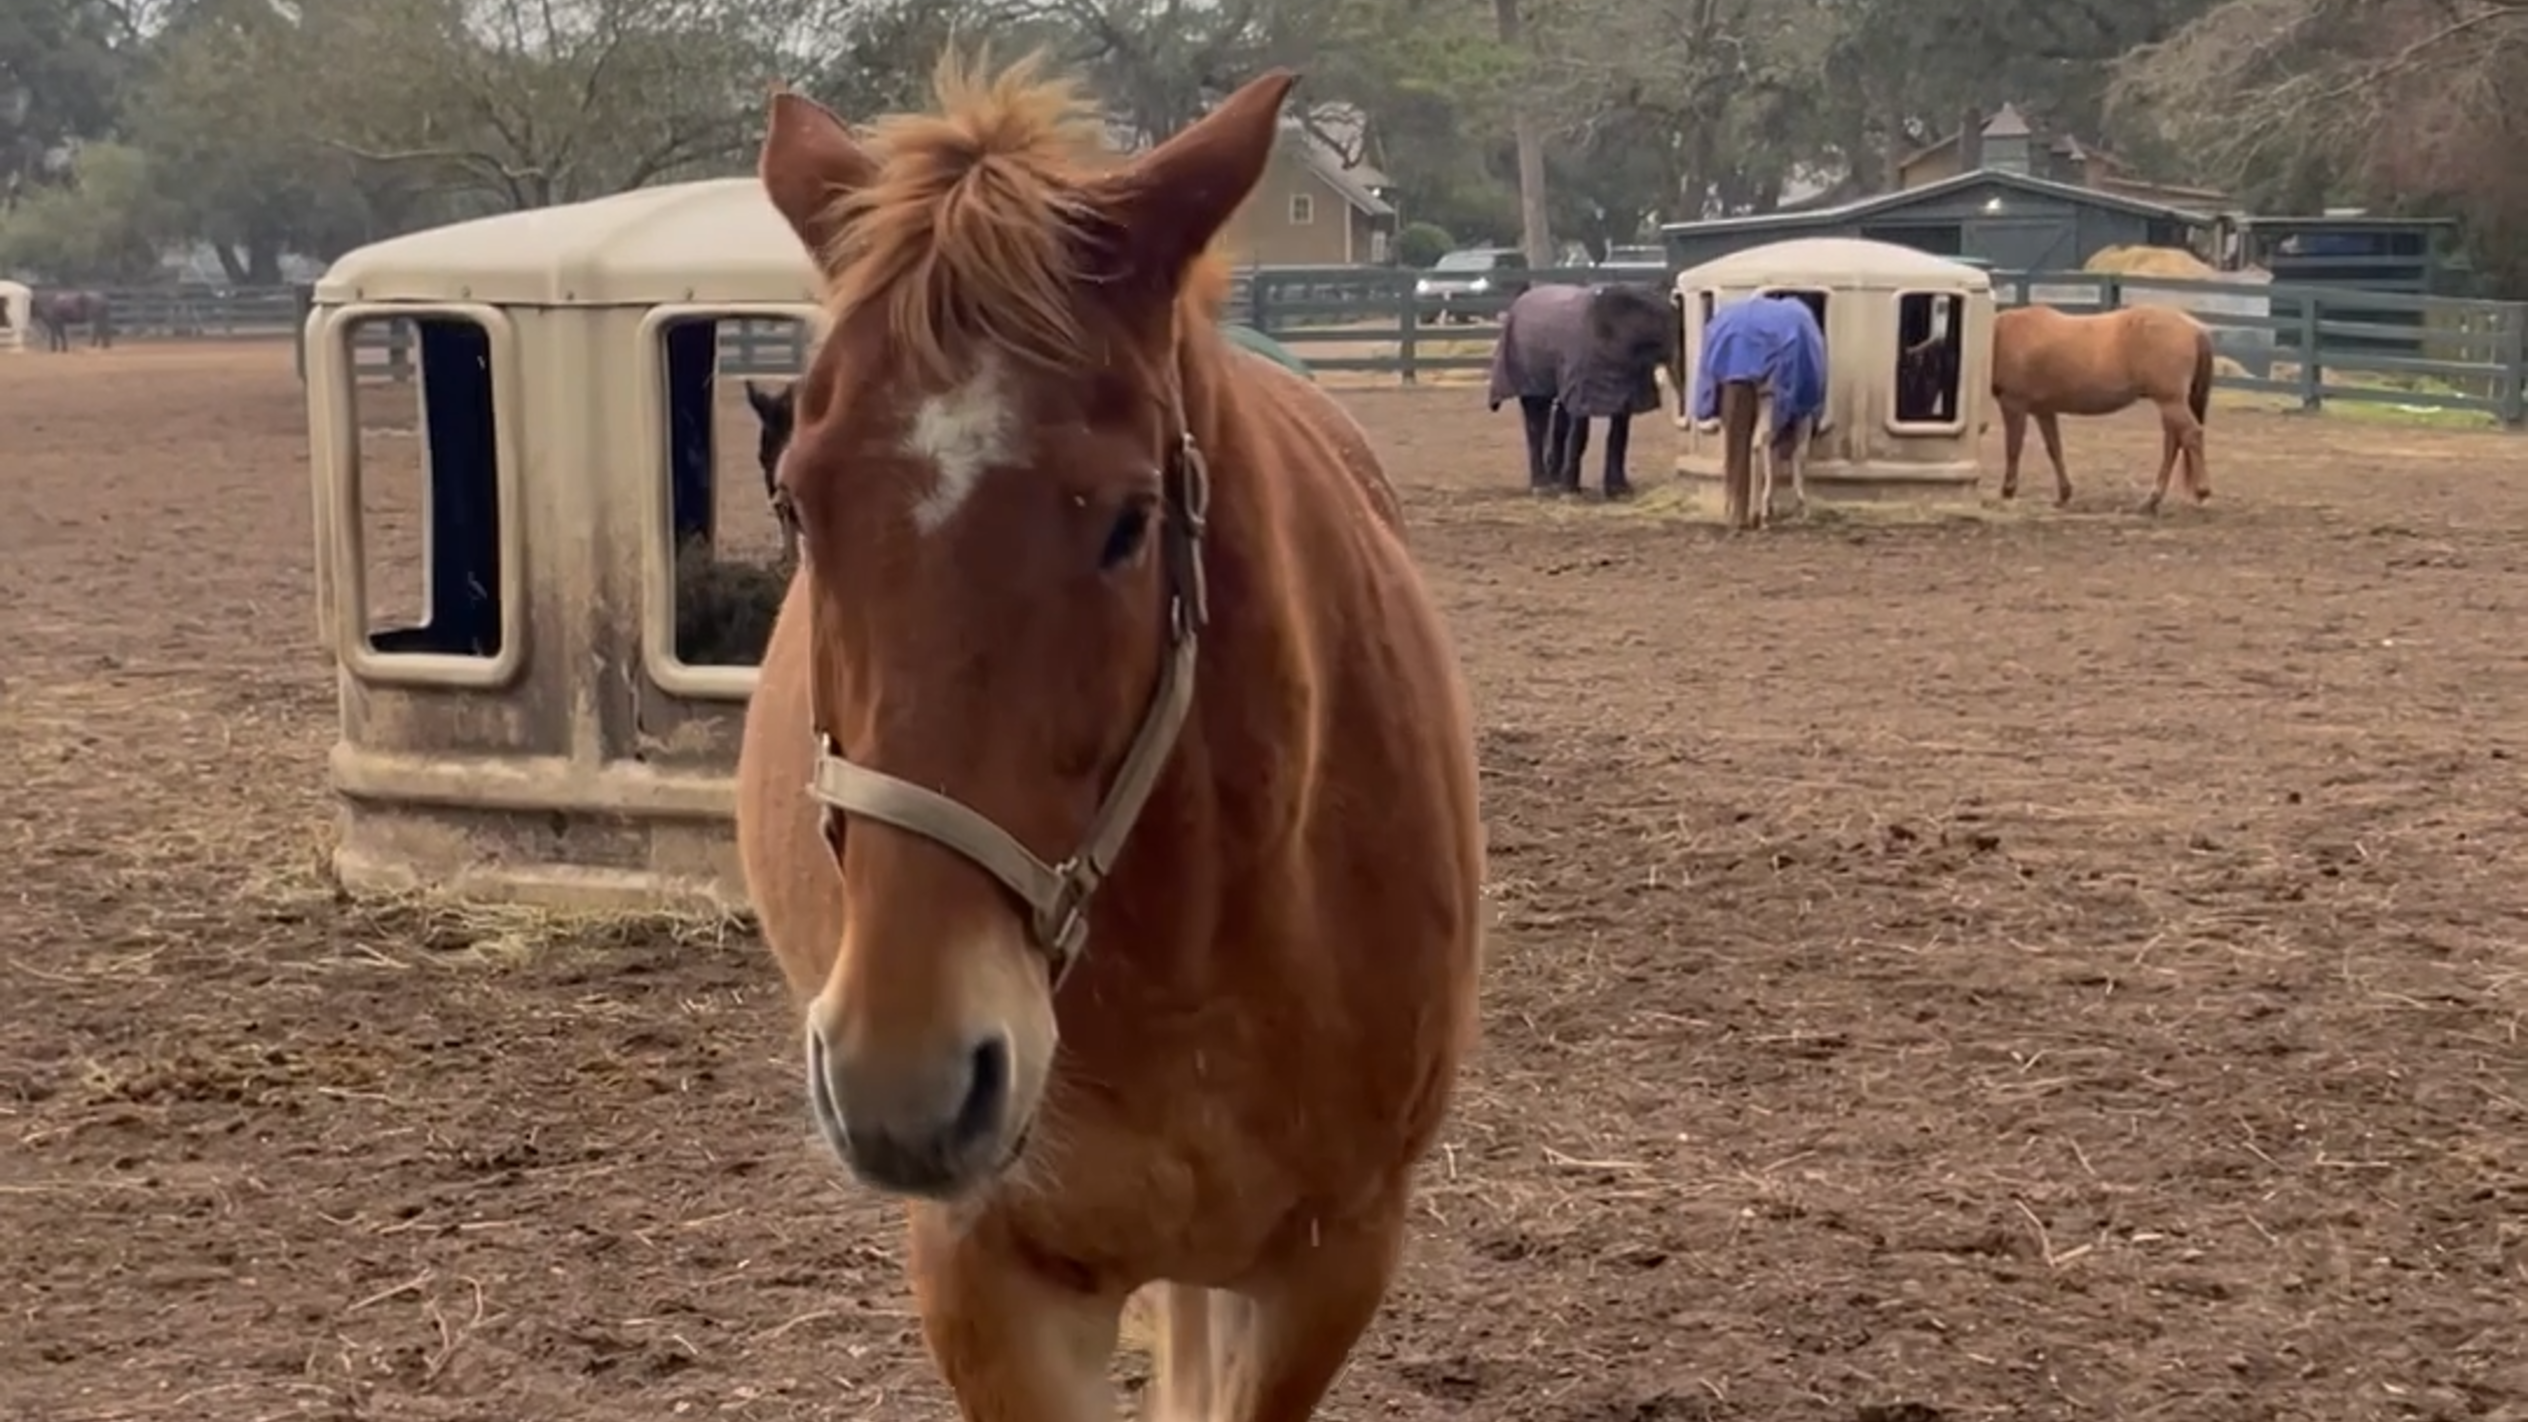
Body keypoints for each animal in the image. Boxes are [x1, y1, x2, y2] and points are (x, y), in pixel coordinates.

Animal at [1486, 282, 1675, 499]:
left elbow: (1620, 428)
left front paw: (1620, 491)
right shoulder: (1581, 370)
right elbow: (1580, 427)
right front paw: (1570, 494)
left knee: (1558, 417)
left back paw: (1554, 481)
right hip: (1523, 366)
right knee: (1537, 416)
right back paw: (1542, 487)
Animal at [1690, 293, 1827, 529]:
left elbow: (1775, 454)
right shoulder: (1803, 414)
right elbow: (1798, 454)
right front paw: (1800, 507)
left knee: (1741, 447)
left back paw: (1737, 512)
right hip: (1769, 399)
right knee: (1759, 442)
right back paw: (1758, 513)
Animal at [1990, 304, 2212, 513]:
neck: (2003, 335)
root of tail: (2195, 328)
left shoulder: (2013, 405)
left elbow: (2013, 448)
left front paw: (2008, 491)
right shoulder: (2043, 411)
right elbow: (2054, 449)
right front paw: (2064, 494)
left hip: (2171, 401)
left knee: (2191, 434)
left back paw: (2200, 491)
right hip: (2169, 404)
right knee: (2173, 443)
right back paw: (2151, 501)